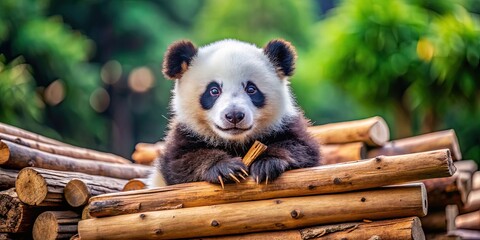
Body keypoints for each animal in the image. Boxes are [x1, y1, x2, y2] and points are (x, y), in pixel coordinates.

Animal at [149, 38, 322, 187]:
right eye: (214, 90)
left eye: (251, 89)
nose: (234, 116)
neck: (235, 142)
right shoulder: (184, 134)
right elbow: (181, 162)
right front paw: (226, 168)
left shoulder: (285, 125)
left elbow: (301, 148)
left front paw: (267, 163)